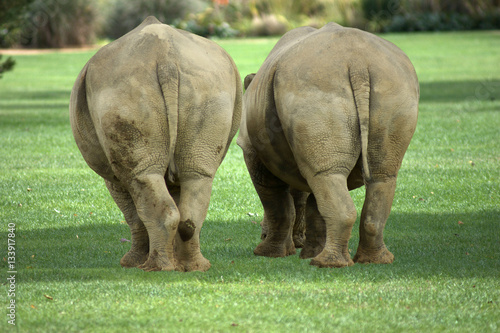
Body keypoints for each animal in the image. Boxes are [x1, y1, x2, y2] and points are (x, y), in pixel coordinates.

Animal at [70, 16, 242, 272]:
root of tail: (166, 60)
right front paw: (174, 261)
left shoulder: (114, 178)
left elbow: (134, 216)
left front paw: (130, 263)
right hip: (208, 85)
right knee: (197, 176)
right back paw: (197, 267)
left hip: (121, 89)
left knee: (142, 176)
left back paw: (155, 268)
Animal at [240, 23, 420, 268]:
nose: (262, 233)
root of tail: (358, 63)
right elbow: (311, 203)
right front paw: (306, 251)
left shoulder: (251, 150)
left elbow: (277, 201)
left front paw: (269, 253)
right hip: (393, 84)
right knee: (378, 175)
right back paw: (374, 261)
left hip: (313, 86)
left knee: (325, 176)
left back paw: (326, 264)